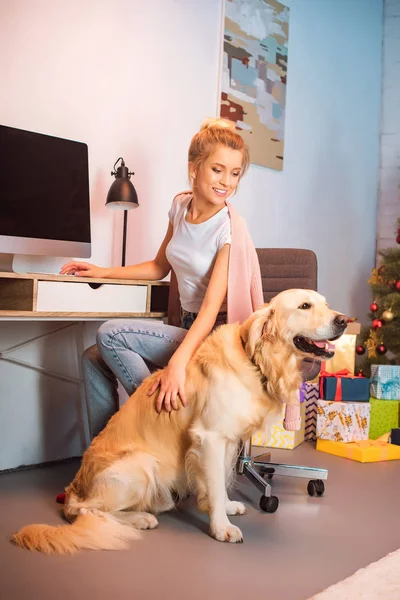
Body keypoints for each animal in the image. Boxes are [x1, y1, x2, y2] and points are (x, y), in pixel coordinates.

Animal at [12, 290, 346, 552]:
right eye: (305, 306)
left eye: (326, 304)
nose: (343, 320)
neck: (256, 361)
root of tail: (74, 489)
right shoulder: (211, 436)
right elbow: (216, 482)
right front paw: (221, 527)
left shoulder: (226, 440)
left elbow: (221, 479)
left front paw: (223, 506)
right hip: (140, 465)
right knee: (87, 512)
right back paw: (141, 518)